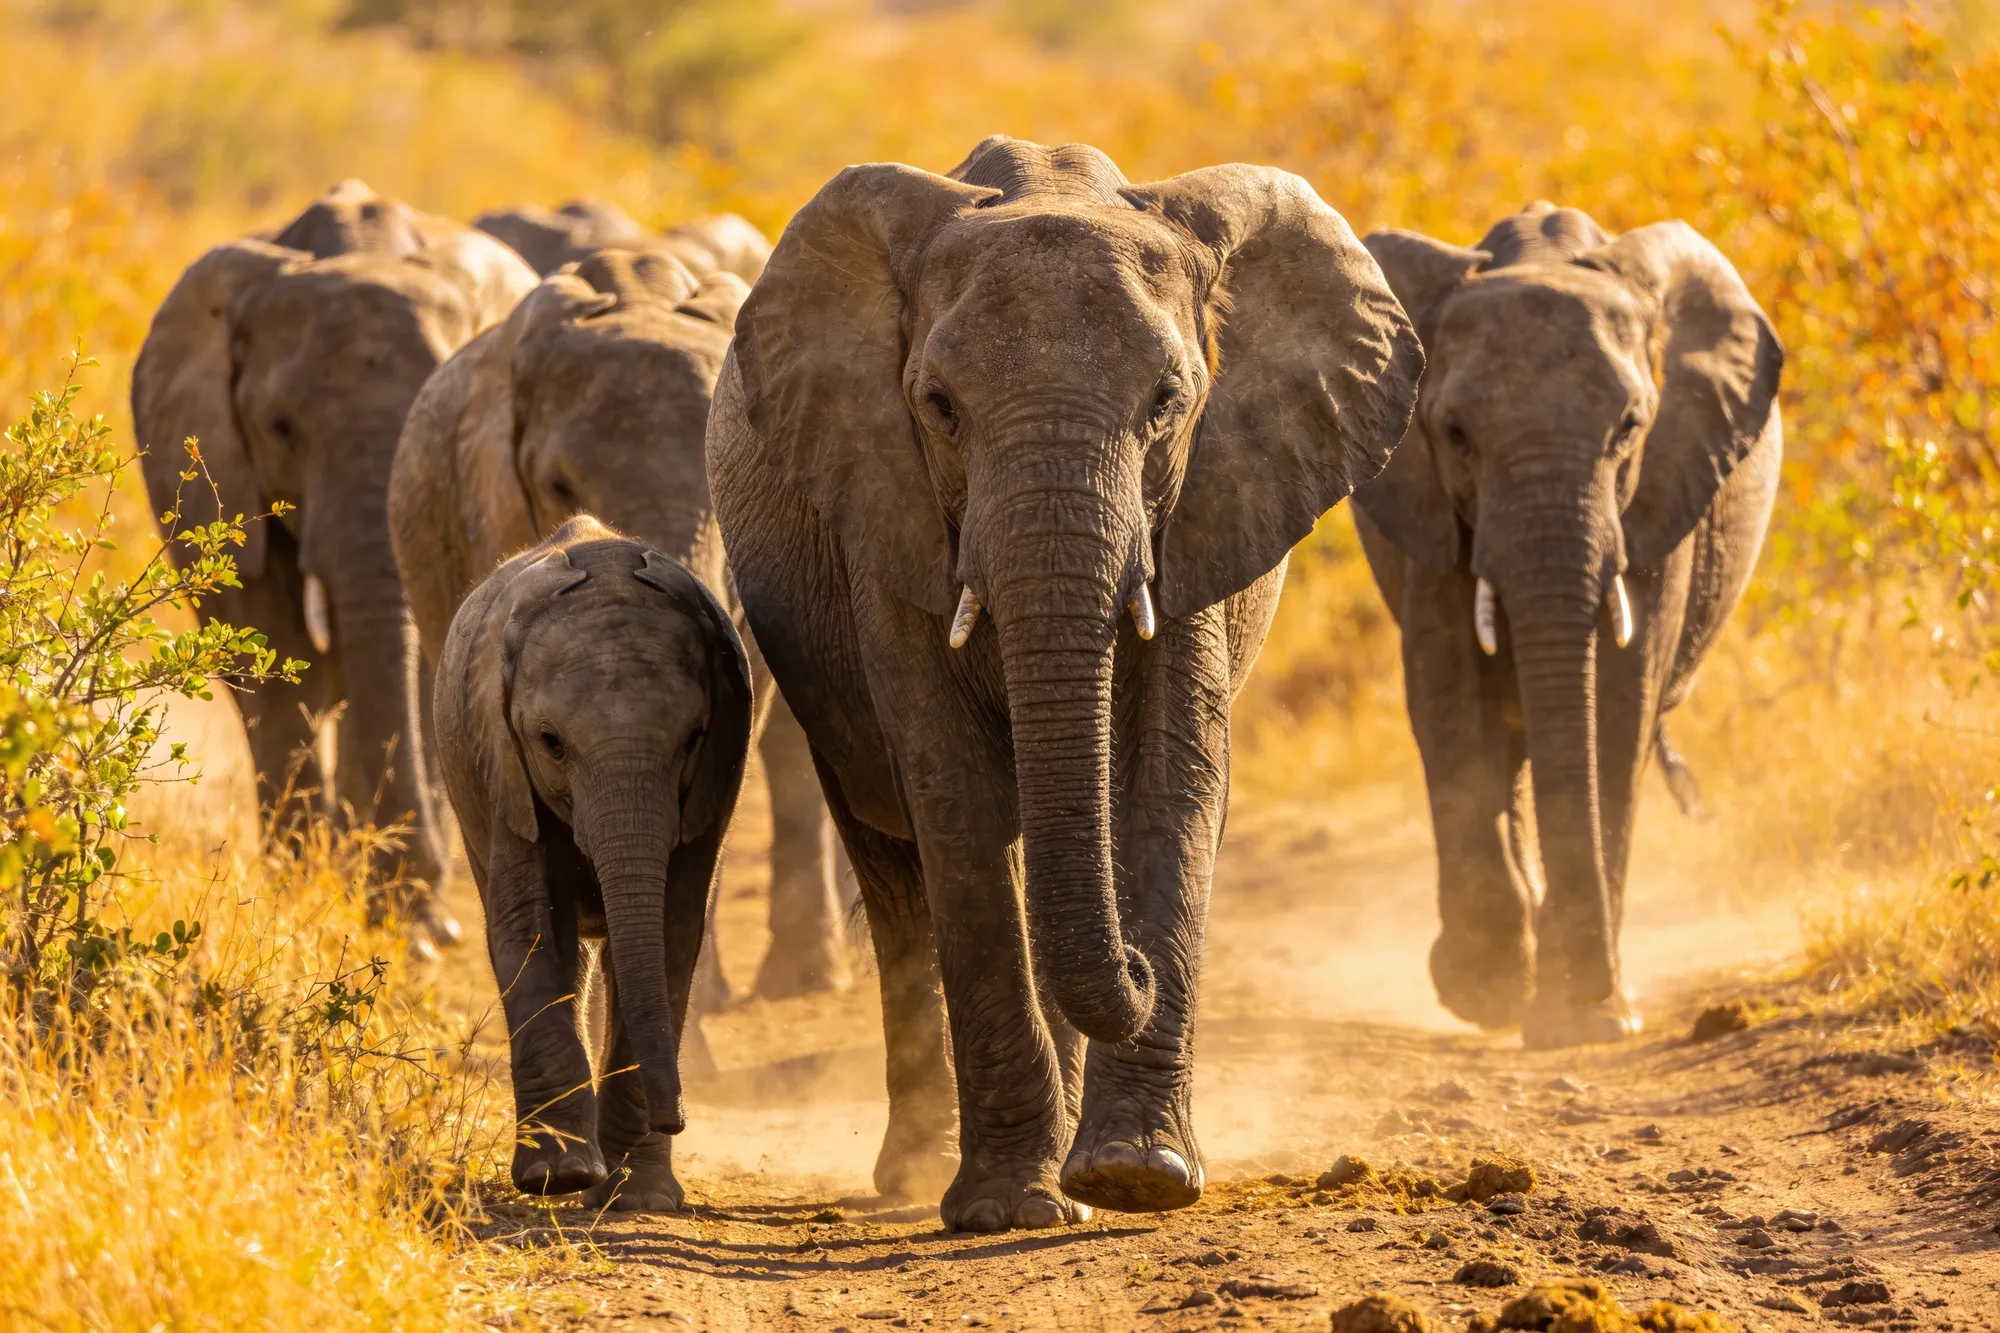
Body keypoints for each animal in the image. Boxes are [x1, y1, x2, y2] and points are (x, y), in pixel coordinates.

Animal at [132, 180, 538, 947]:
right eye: (281, 427)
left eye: (431, 422)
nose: (441, 930)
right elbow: (268, 641)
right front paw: (299, 891)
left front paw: (410, 916)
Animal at [434, 515, 751, 1211]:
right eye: (551, 743)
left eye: (694, 738)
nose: (676, 1118)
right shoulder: (502, 767)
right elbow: (528, 928)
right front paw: (561, 1179)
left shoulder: (714, 780)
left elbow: (671, 931)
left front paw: (639, 1198)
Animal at [707, 136, 1422, 1231]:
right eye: (939, 408)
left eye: (1168, 404)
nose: (1135, 962)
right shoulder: (886, 511)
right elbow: (953, 791)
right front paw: (1009, 1207)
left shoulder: (1202, 505)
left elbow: (1170, 774)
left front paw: (1135, 1177)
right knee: (897, 865)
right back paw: (917, 1171)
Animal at [1350, 202, 1783, 1049]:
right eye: (1455, 433)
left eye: (1629, 426)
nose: (1594, 1000)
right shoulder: (1428, 507)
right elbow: (1447, 694)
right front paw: (1489, 993)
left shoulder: (1659, 493)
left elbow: (1617, 703)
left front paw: (1583, 1016)